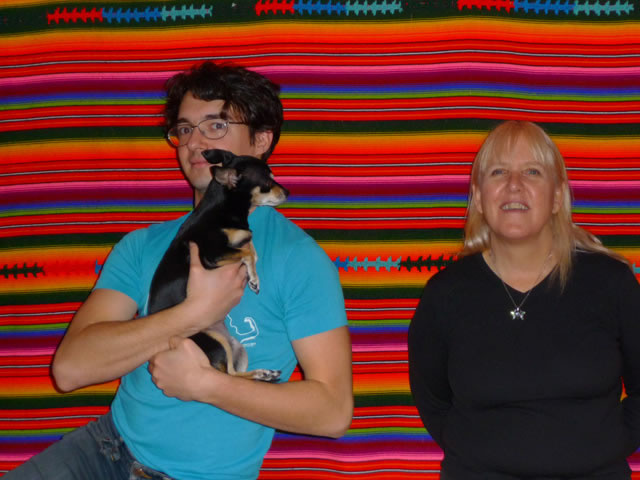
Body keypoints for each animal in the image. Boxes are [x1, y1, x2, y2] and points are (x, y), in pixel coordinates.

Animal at [147, 149, 289, 381]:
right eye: (268, 181)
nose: (288, 192)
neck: (223, 208)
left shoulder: (238, 239)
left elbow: (251, 247)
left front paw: (253, 277)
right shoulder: (211, 256)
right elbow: (247, 252)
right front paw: (254, 278)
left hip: (235, 346)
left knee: (234, 374)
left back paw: (263, 374)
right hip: (214, 339)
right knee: (230, 375)